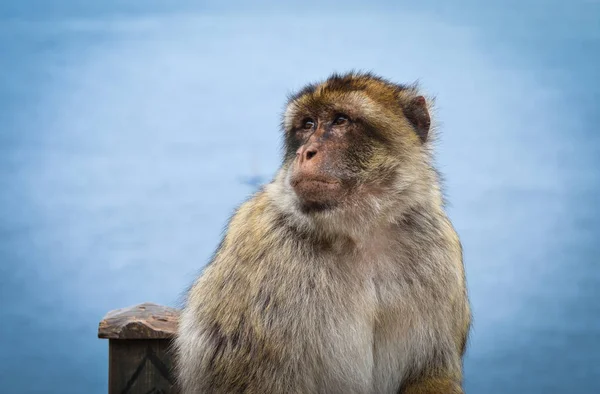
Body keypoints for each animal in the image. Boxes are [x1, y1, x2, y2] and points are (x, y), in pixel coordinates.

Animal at [176, 71, 472, 394]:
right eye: (308, 125)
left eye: (340, 120)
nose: (305, 152)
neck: (360, 234)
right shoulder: (259, 247)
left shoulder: (438, 249)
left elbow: (431, 374)